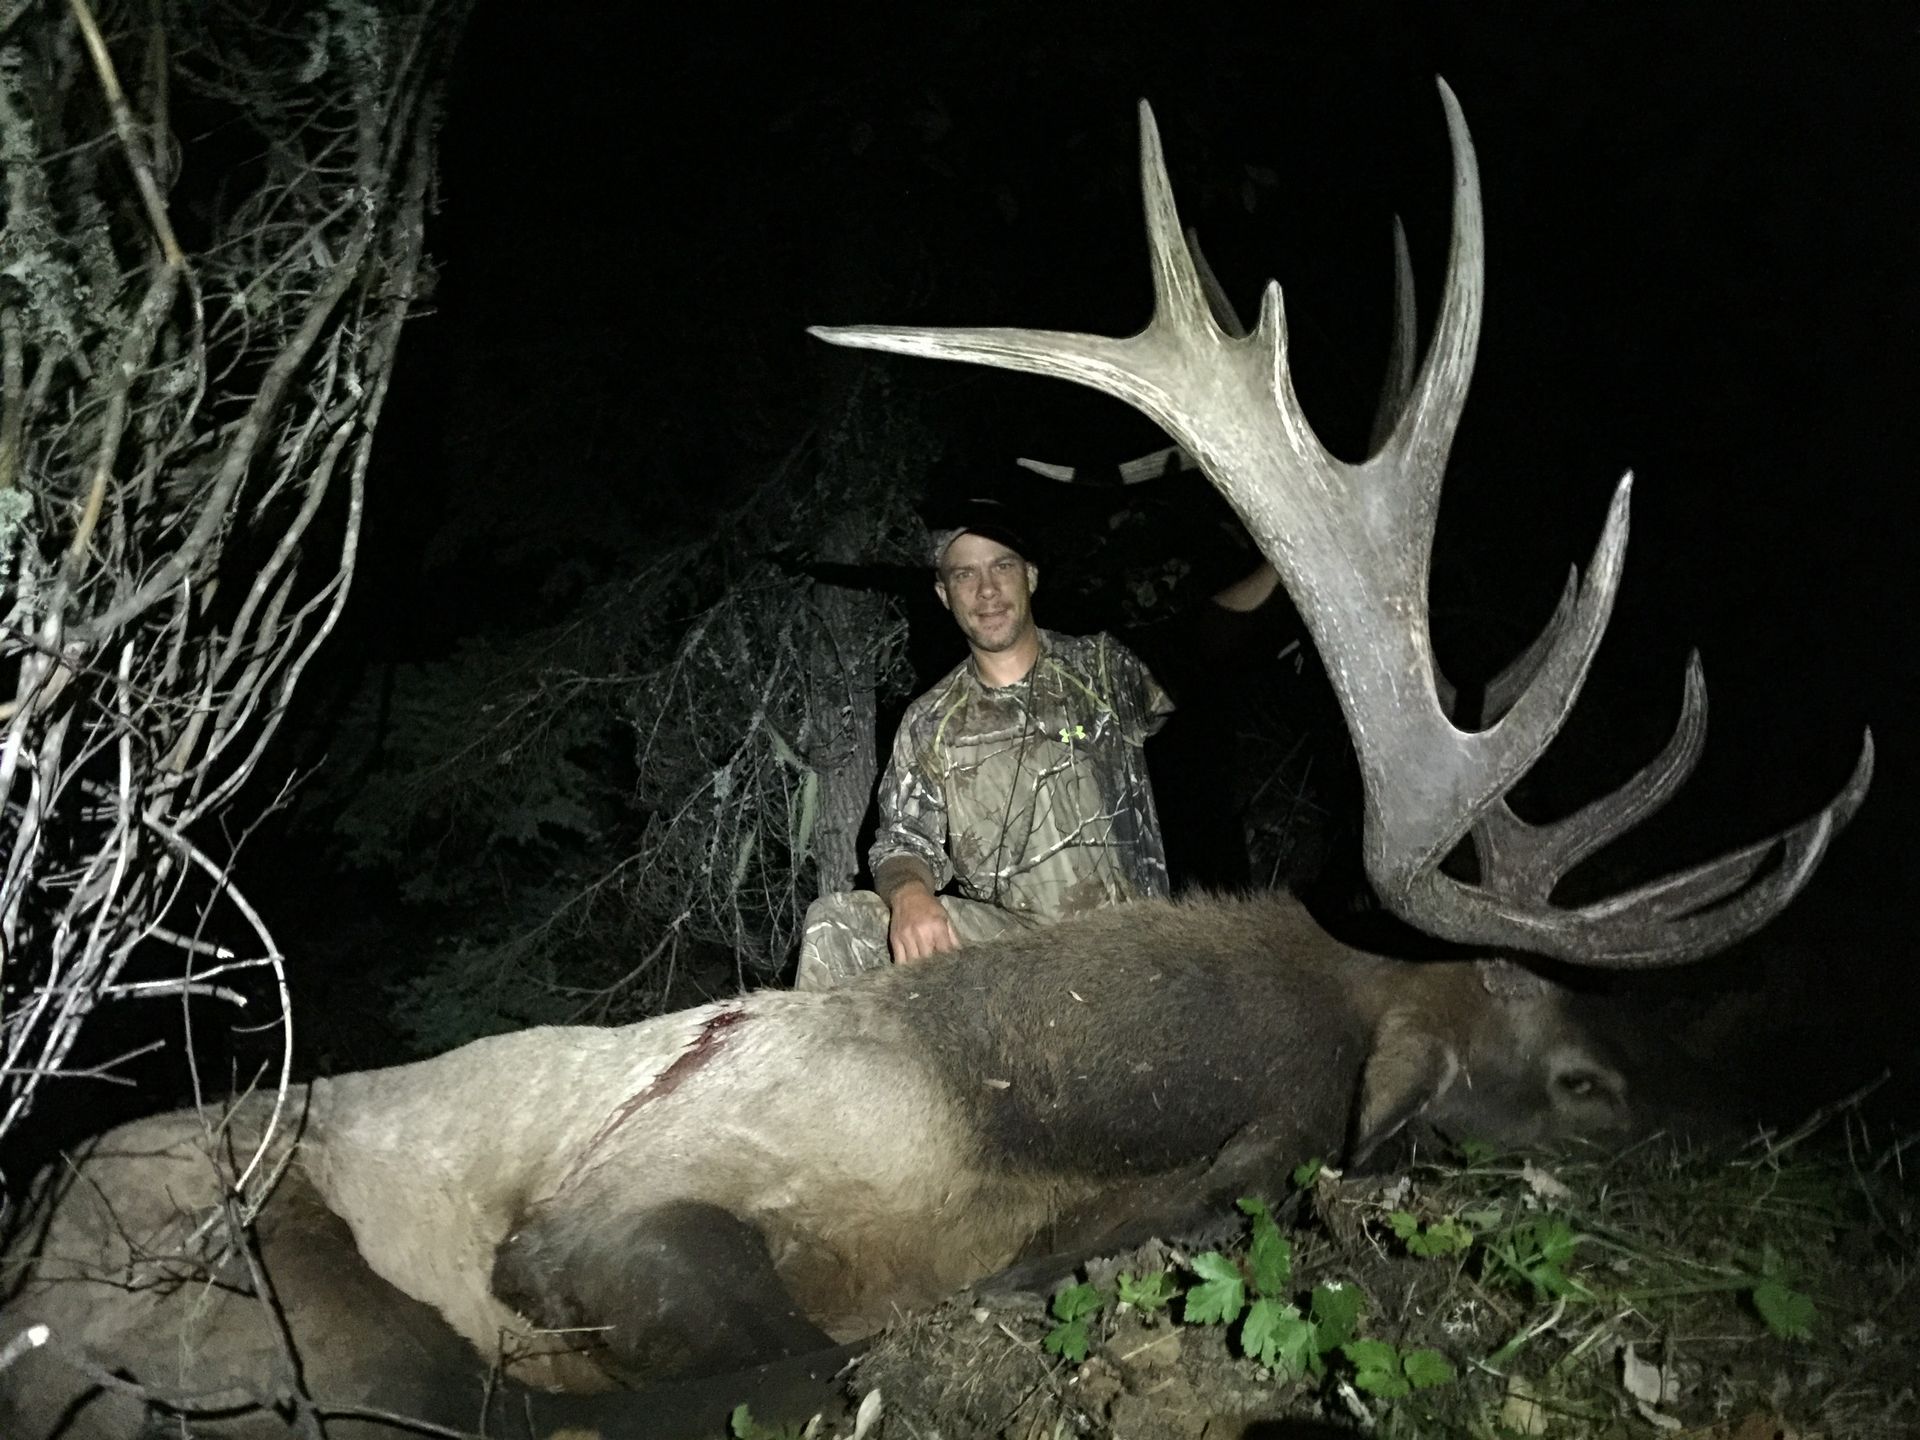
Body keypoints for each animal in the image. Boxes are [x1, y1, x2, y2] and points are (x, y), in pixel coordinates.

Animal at [0, 81, 1870, 1440]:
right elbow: (806, 1351)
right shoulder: (618, 1209)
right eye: (1582, 1079)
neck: (1029, 1125)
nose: (1753, 1132)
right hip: (250, 1274)